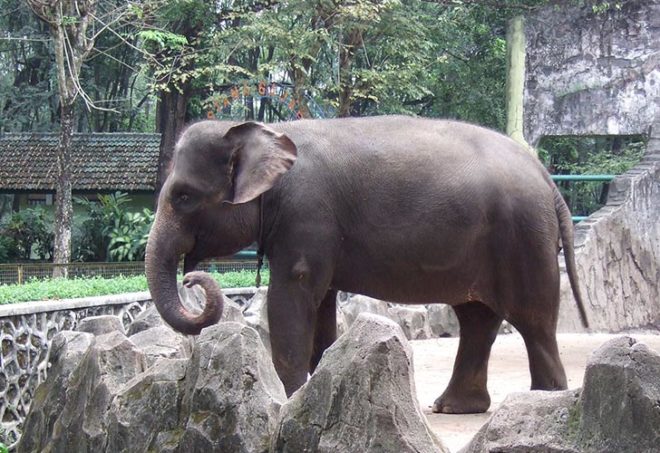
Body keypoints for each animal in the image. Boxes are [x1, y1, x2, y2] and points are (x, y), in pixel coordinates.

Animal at [145, 115, 589, 414]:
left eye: (183, 196)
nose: (192, 277)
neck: (269, 131)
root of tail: (547, 179)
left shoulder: (306, 215)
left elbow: (293, 293)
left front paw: (287, 400)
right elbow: (321, 305)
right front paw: (314, 387)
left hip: (524, 237)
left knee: (533, 319)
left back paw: (544, 400)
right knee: (477, 318)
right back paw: (452, 407)